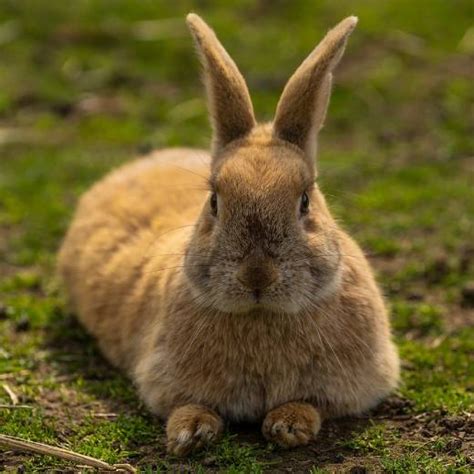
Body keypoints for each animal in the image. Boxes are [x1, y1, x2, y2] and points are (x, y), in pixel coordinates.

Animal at [56, 12, 400, 456]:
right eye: (215, 201)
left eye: (305, 201)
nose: (257, 276)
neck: (261, 316)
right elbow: (187, 405)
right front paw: (189, 433)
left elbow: (312, 404)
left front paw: (289, 424)